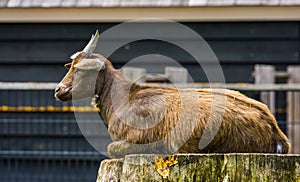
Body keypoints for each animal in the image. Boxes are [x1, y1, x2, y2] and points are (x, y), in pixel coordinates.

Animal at [55, 30, 290, 158]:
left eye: (80, 70)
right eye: (71, 66)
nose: (59, 90)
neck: (125, 98)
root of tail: (277, 134)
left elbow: (111, 148)